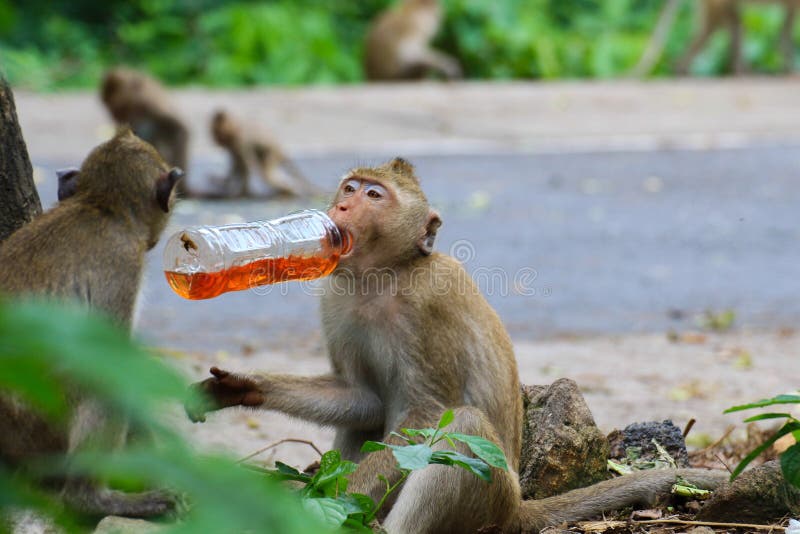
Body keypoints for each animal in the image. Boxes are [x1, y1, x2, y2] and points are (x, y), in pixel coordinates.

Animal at [0, 129, 183, 520]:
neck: (101, 206)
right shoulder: (123, 266)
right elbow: (110, 358)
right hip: (40, 418)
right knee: (101, 386)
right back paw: (91, 498)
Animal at [183, 159, 732, 534]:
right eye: (349, 187)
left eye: (373, 195)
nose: (339, 207)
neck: (382, 277)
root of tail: (517, 508)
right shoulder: (335, 298)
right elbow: (364, 400)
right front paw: (242, 388)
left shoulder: (430, 307)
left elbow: (426, 414)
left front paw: (325, 502)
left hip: (487, 498)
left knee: (461, 429)